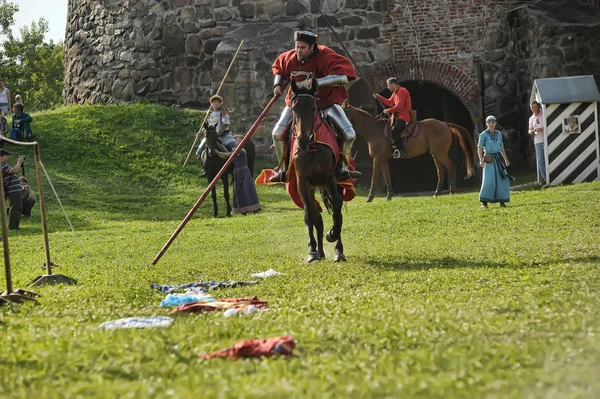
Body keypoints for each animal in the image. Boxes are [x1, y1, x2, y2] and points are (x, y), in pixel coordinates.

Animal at [290, 79, 346, 264]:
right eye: (294, 109)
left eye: (313, 108)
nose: (302, 141)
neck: (313, 146)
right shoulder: (302, 182)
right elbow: (309, 214)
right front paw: (312, 251)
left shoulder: (329, 178)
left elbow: (337, 207)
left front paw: (335, 240)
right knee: (316, 216)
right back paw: (319, 252)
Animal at [344, 104, 476, 202]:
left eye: (343, 111)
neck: (374, 130)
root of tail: (445, 124)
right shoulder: (383, 160)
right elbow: (387, 177)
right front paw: (389, 195)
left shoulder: (377, 159)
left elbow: (374, 177)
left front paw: (370, 197)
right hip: (436, 154)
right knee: (441, 171)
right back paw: (437, 192)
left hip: (440, 153)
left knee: (451, 167)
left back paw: (452, 190)